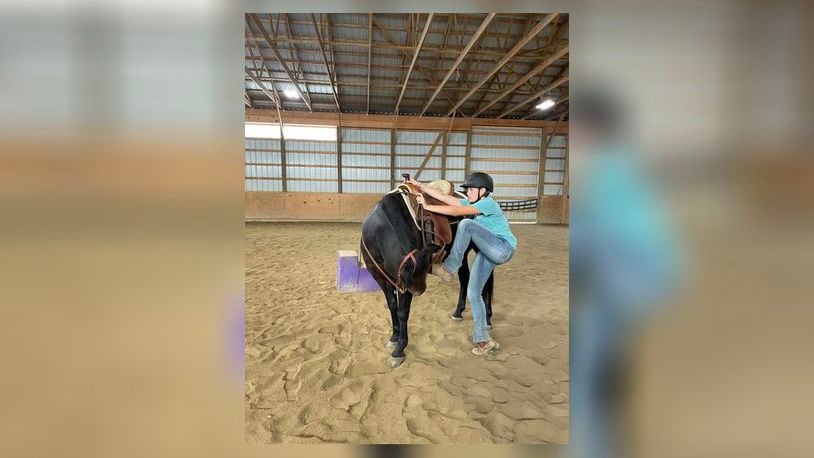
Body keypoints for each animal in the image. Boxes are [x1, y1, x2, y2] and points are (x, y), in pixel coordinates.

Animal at [364, 191, 498, 366]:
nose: (419, 290)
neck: (379, 231)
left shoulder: (403, 285)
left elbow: (402, 312)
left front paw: (399, 350)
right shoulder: (381, 277)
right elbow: (392, 305)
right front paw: (394, 337)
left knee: (487, 282)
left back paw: (487, 319)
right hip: (462, 255)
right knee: (465, 278)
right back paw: (458, 312)